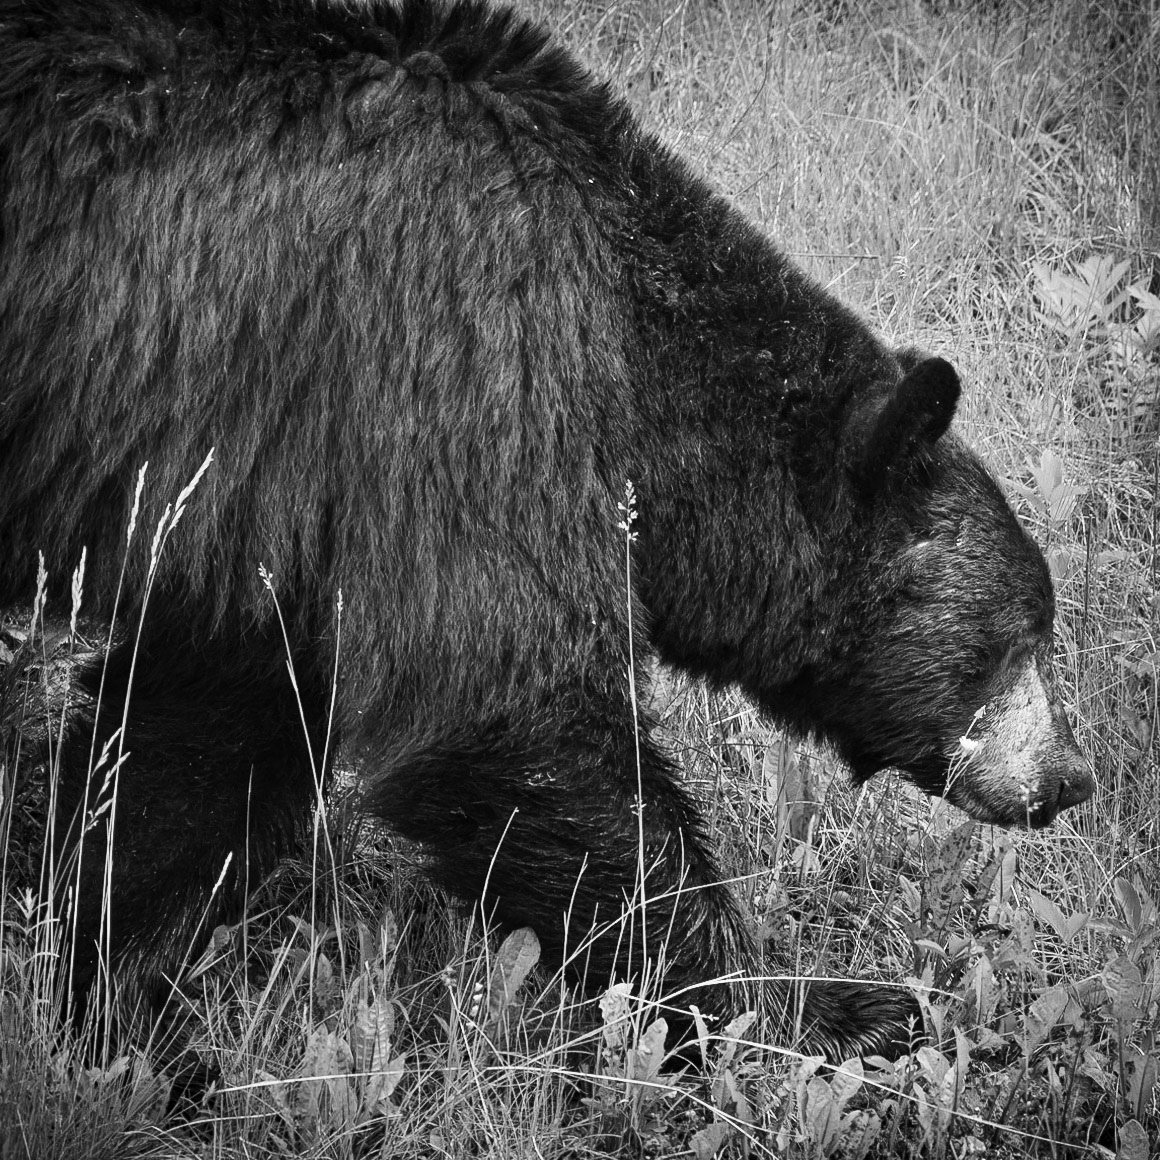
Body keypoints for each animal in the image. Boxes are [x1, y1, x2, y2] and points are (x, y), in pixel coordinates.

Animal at [0, 0, 1093, 1060]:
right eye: (1021, 636)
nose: (1070, 777)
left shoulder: (265, 499)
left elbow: (195, 735)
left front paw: (107, 983)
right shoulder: (460, 342)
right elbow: (509, 707)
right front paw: (818, 1010)